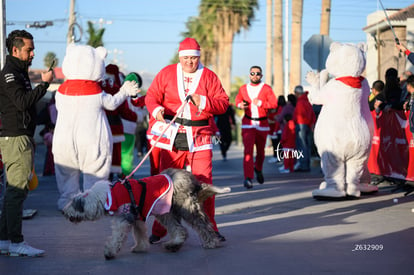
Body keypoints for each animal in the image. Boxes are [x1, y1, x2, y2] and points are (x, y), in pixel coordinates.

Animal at [62, 168, 230, 260]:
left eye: (74, 203)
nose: (63, 211)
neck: (108, 196)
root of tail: (193, 180)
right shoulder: (137, 217)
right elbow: (139, 233)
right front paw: (140, 247)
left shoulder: (124, 217)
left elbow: (117, 236)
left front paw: (109, 252)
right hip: (167, 210)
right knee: (180, 230)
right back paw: (173, 245)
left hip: (184, 207)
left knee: (200, 226)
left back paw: (210, 242)